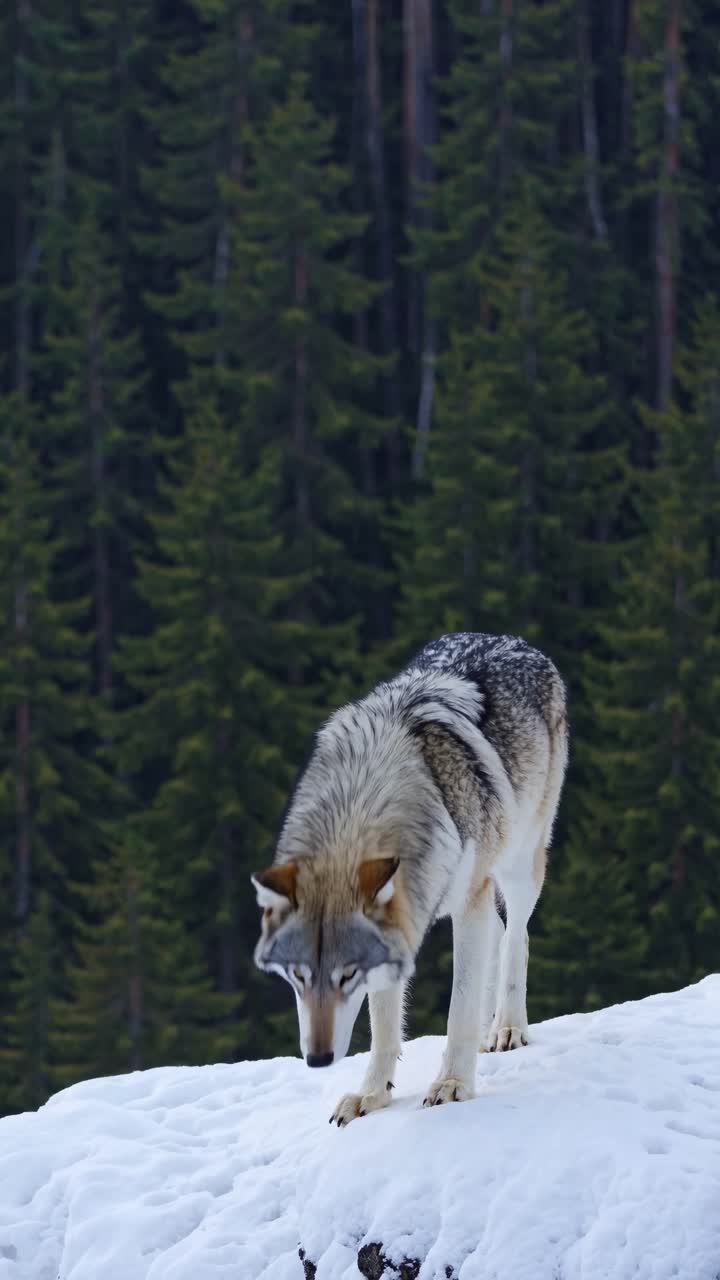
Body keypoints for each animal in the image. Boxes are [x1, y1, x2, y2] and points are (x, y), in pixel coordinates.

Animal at [252, 632, 568, 1125]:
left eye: (348, 975)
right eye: (299, 977)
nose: (318, 1060)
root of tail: (510, 639)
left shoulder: (469, 899)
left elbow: (458, 1008)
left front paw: (453, 1084)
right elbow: (384, 1026)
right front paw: (371, 1095)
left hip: (518, 861)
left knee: (516, 936)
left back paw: (507, 1028)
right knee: (498, 937)